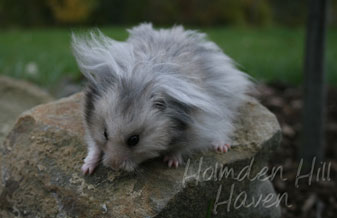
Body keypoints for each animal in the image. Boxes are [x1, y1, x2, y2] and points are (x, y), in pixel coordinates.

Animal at [71, 23, 252, 175]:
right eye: (105, 133)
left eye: (134, 140)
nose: (114, 167)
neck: (140, 80)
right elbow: (94, 144)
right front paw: (86, 169)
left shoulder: (196, 125)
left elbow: (183, 146)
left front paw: (172, 163)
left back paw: (222, 147)